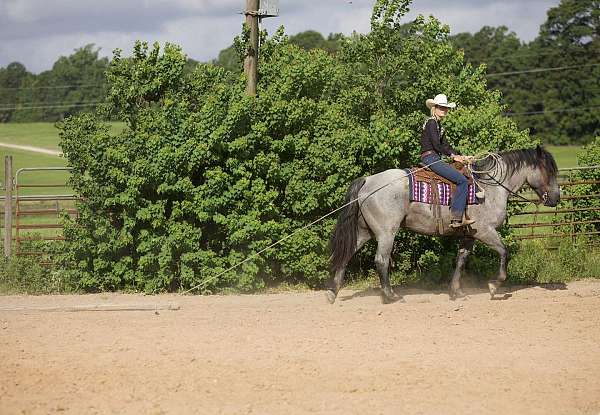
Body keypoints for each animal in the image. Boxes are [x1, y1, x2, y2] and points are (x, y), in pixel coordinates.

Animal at [326, 147, 560, 306]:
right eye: (548, 171)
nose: (556, 198)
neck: (489, 188)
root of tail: (368, 181)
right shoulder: (486, 231)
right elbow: (504, 252)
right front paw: (494, 286)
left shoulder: (470, 235)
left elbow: (461, 260)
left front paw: (456, 292)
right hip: (386, 233)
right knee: (381, 261)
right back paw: (391, 296)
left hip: (364, 231)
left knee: (346, 255)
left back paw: (333, 292)